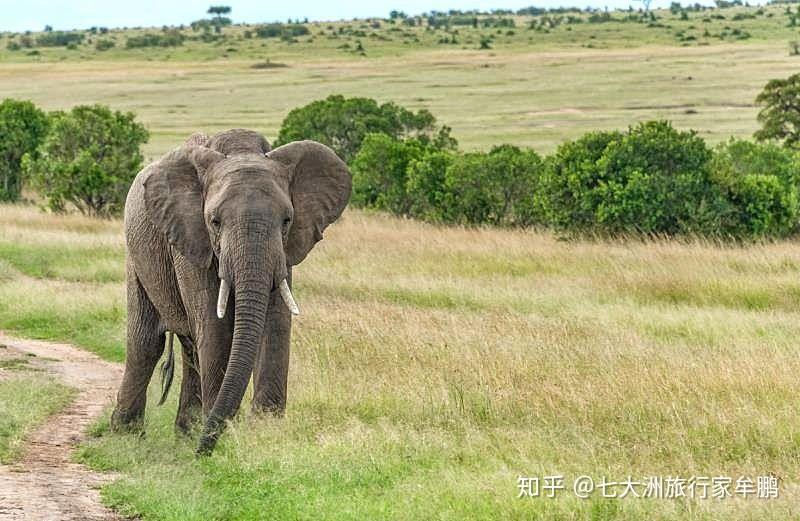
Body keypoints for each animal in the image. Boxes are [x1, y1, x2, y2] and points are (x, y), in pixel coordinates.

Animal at [109, 129, 350, 456]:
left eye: (287, 220)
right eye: (215, 221)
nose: (203, 452)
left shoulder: (284, 251)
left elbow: (276, 324)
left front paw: (266, 434)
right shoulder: (191, 239)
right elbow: (215, 328)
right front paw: (226, 437)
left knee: (189, 349)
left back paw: (186, 434)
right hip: (137, 254)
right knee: (145, 342)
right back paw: (126, 436)